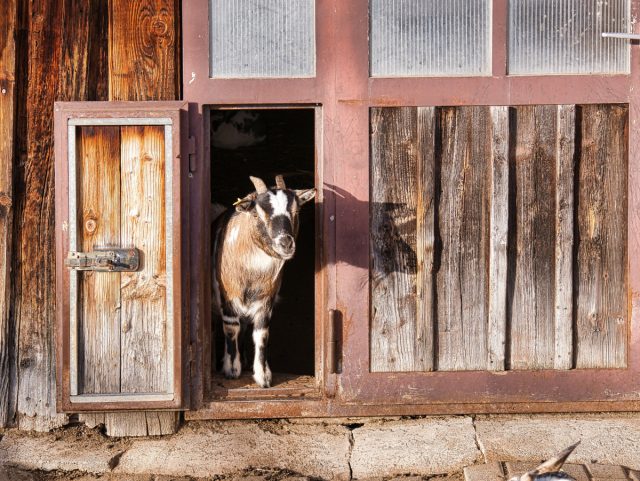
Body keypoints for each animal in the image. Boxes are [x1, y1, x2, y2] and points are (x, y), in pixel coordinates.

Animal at [212, 175, 316, 387]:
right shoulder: (228, 299)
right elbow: (231, 329)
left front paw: (263, 377)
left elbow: (261, 334)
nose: (286, 243)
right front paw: (231, 370)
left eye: (296, 211)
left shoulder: (266, 301)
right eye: (257, 214)